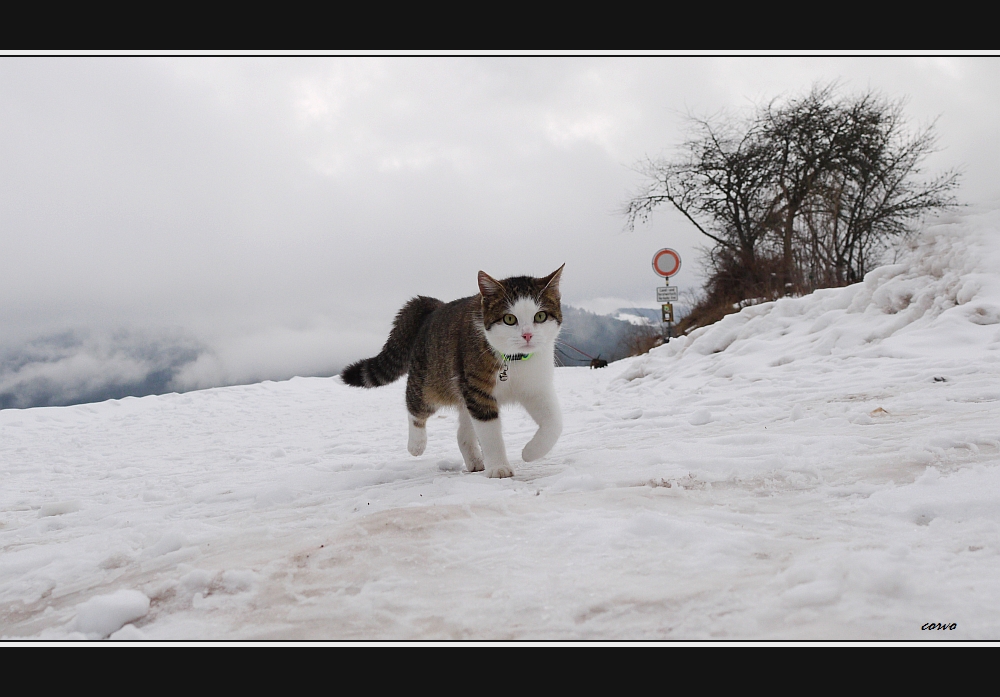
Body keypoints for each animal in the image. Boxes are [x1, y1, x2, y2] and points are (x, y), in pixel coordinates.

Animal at [342, 264, 564, 476]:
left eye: (540, 316)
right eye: (509, 319)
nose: (527, 335)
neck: (515, 361)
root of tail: (435, 307)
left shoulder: (536, 386)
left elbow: (555, 423)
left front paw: (531, 452)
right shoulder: (478, 391)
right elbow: (490, 433)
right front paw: (499, 467)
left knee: (462, 433)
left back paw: (475, 461)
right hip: (431, 381)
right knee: (415, 406)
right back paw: (416, 444)